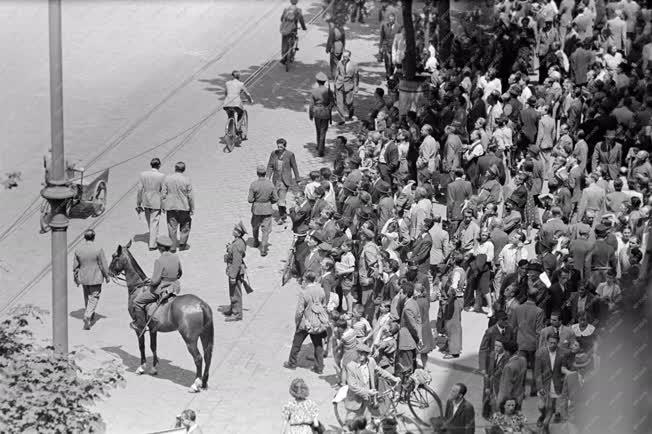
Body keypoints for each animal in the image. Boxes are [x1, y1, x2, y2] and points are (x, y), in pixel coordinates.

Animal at [109, 241, 214, 394]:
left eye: (114, 256)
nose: (109, 272)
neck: (139, 288)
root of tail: (200, 304)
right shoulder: (153, 328)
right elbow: (153, 347)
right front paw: (154, 368)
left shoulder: (139, 328)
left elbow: (142, 346)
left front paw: (142, 367)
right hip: (205, 335)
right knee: (207, 355)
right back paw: (204, 382)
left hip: (190, 339)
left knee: (199, 358)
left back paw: (195, 384)